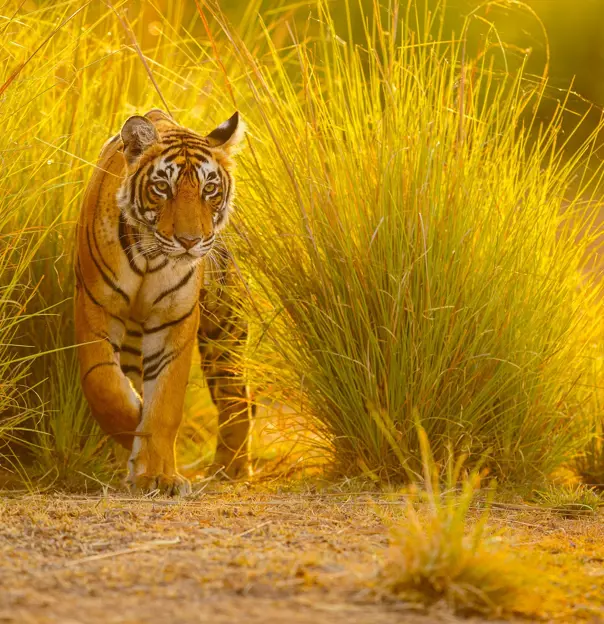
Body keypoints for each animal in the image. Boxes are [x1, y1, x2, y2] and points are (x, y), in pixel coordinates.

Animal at [75, 108, 252, 498]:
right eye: (162, 188)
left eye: (209, 189)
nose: (190, 241)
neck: (150, 257)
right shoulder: (96, 307)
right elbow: (105, 385)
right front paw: (134, 431)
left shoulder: (175, 319)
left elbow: (165, 403)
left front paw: (159, 476)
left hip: (224, 329)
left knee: (238, 396)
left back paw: (230, 468)